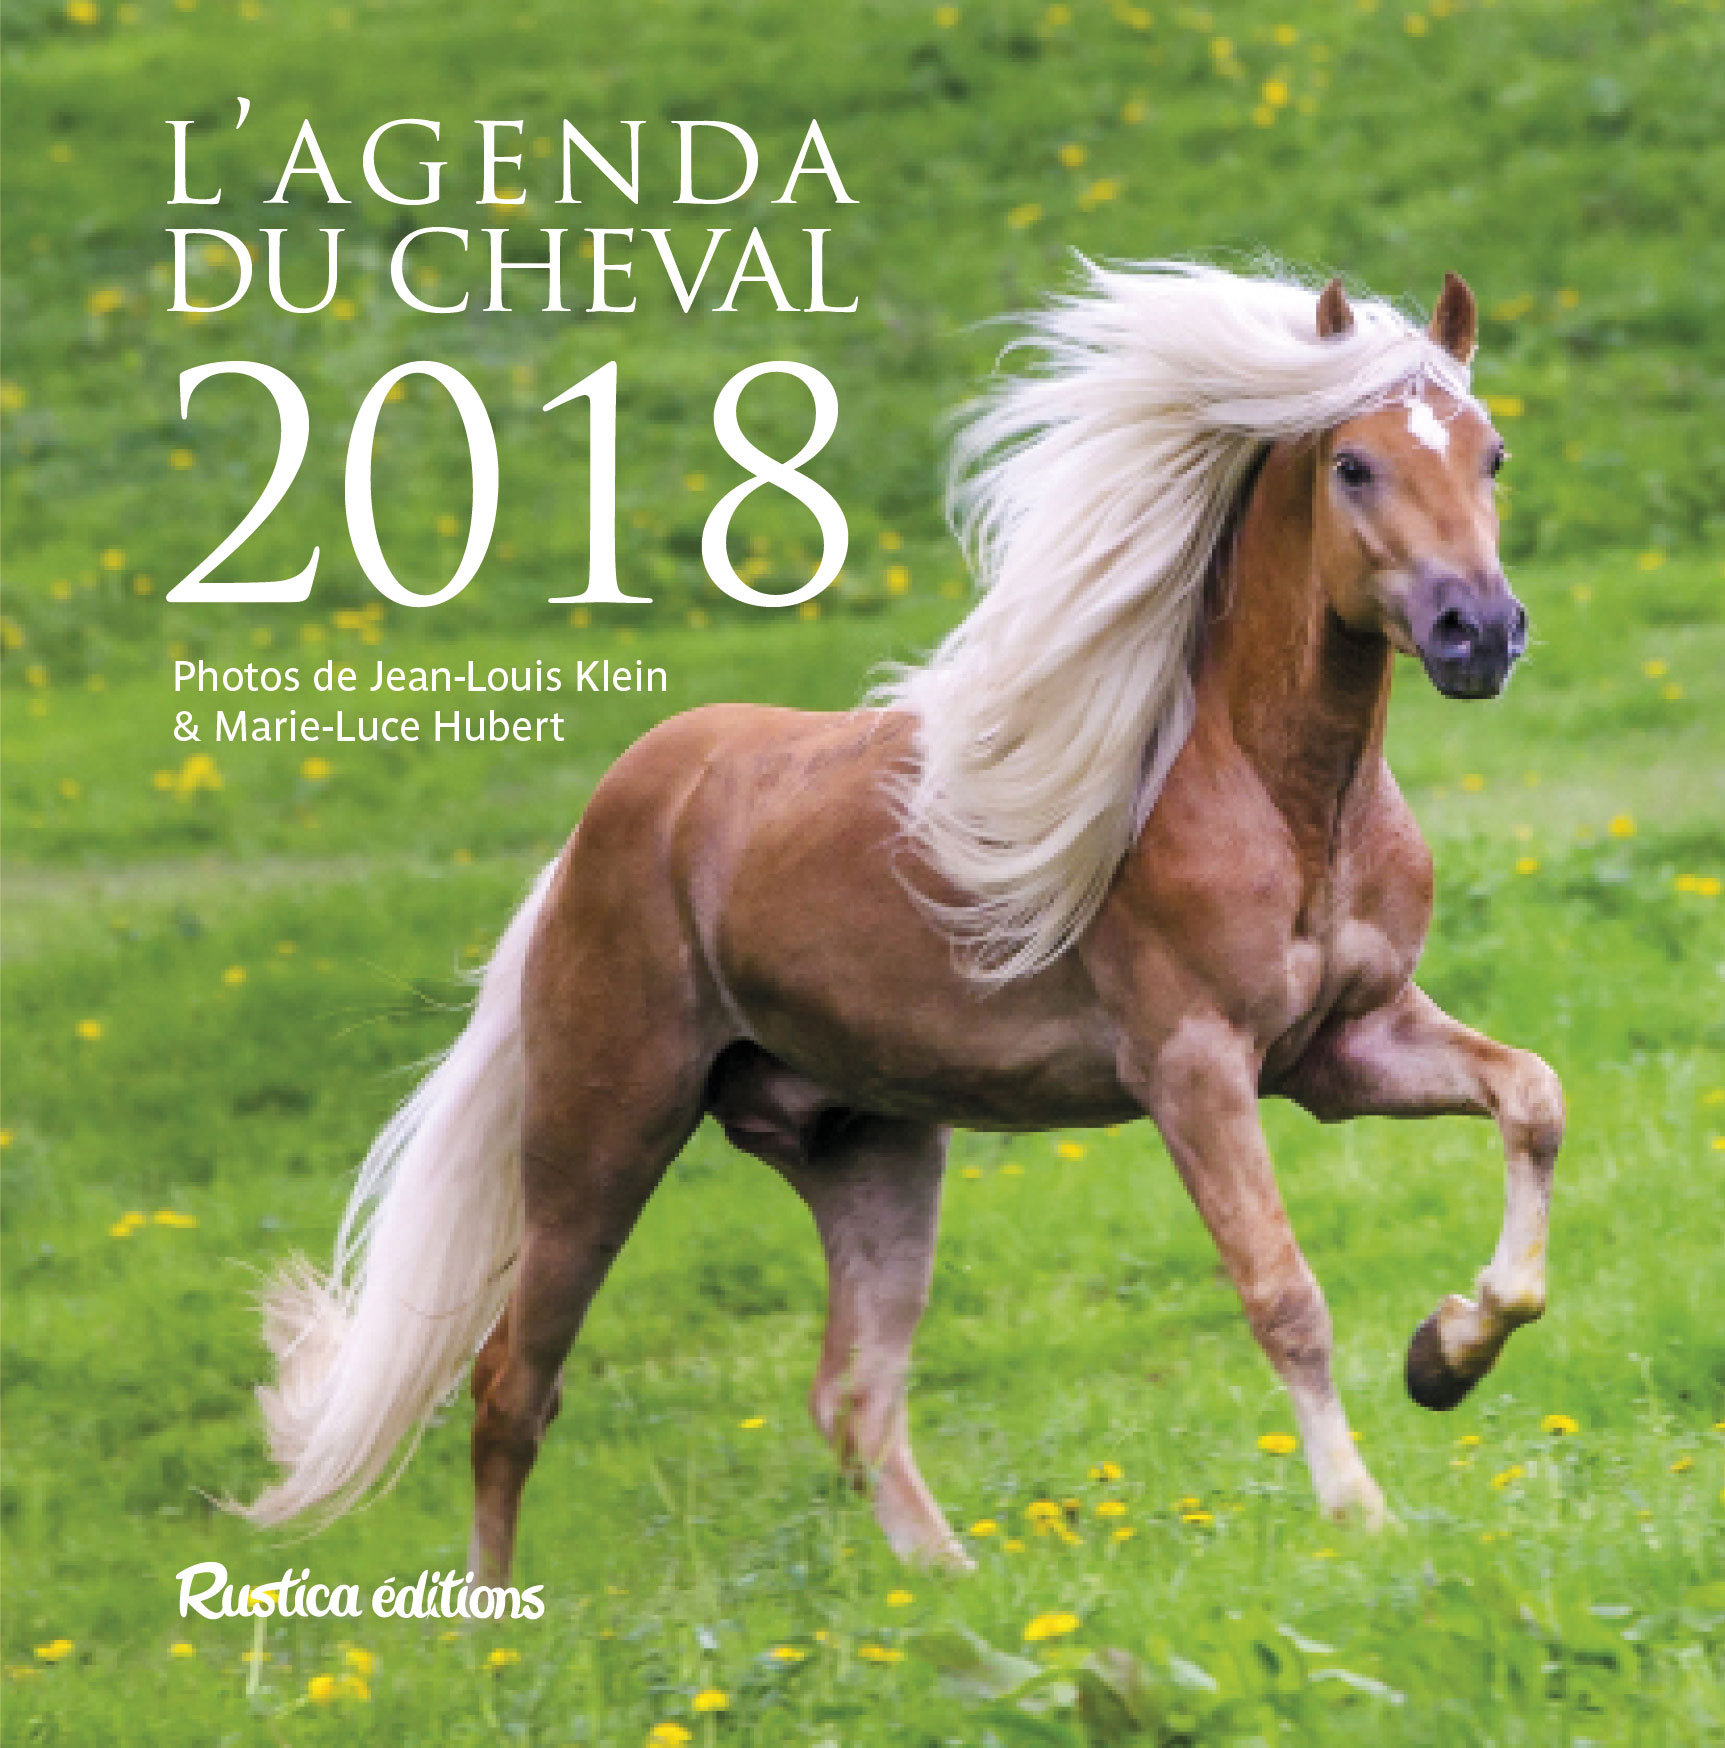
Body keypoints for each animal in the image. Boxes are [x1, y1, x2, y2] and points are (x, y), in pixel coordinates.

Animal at [242, 264, 1564, 1584]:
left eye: (1493, 455)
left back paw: (950, 1587)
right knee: (512, 1384)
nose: (1480, 631)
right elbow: (1285, 1295)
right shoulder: (1196, 1067)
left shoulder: (1343, 1047)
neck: (1279, 797)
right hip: (597, 1135)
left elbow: (1532, 1099)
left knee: (852, 1392)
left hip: (867, 1148)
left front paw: (1447, 1352)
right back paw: (494, 1622)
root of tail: (594, 835)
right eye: (1354, 464)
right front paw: (1361, 1511)